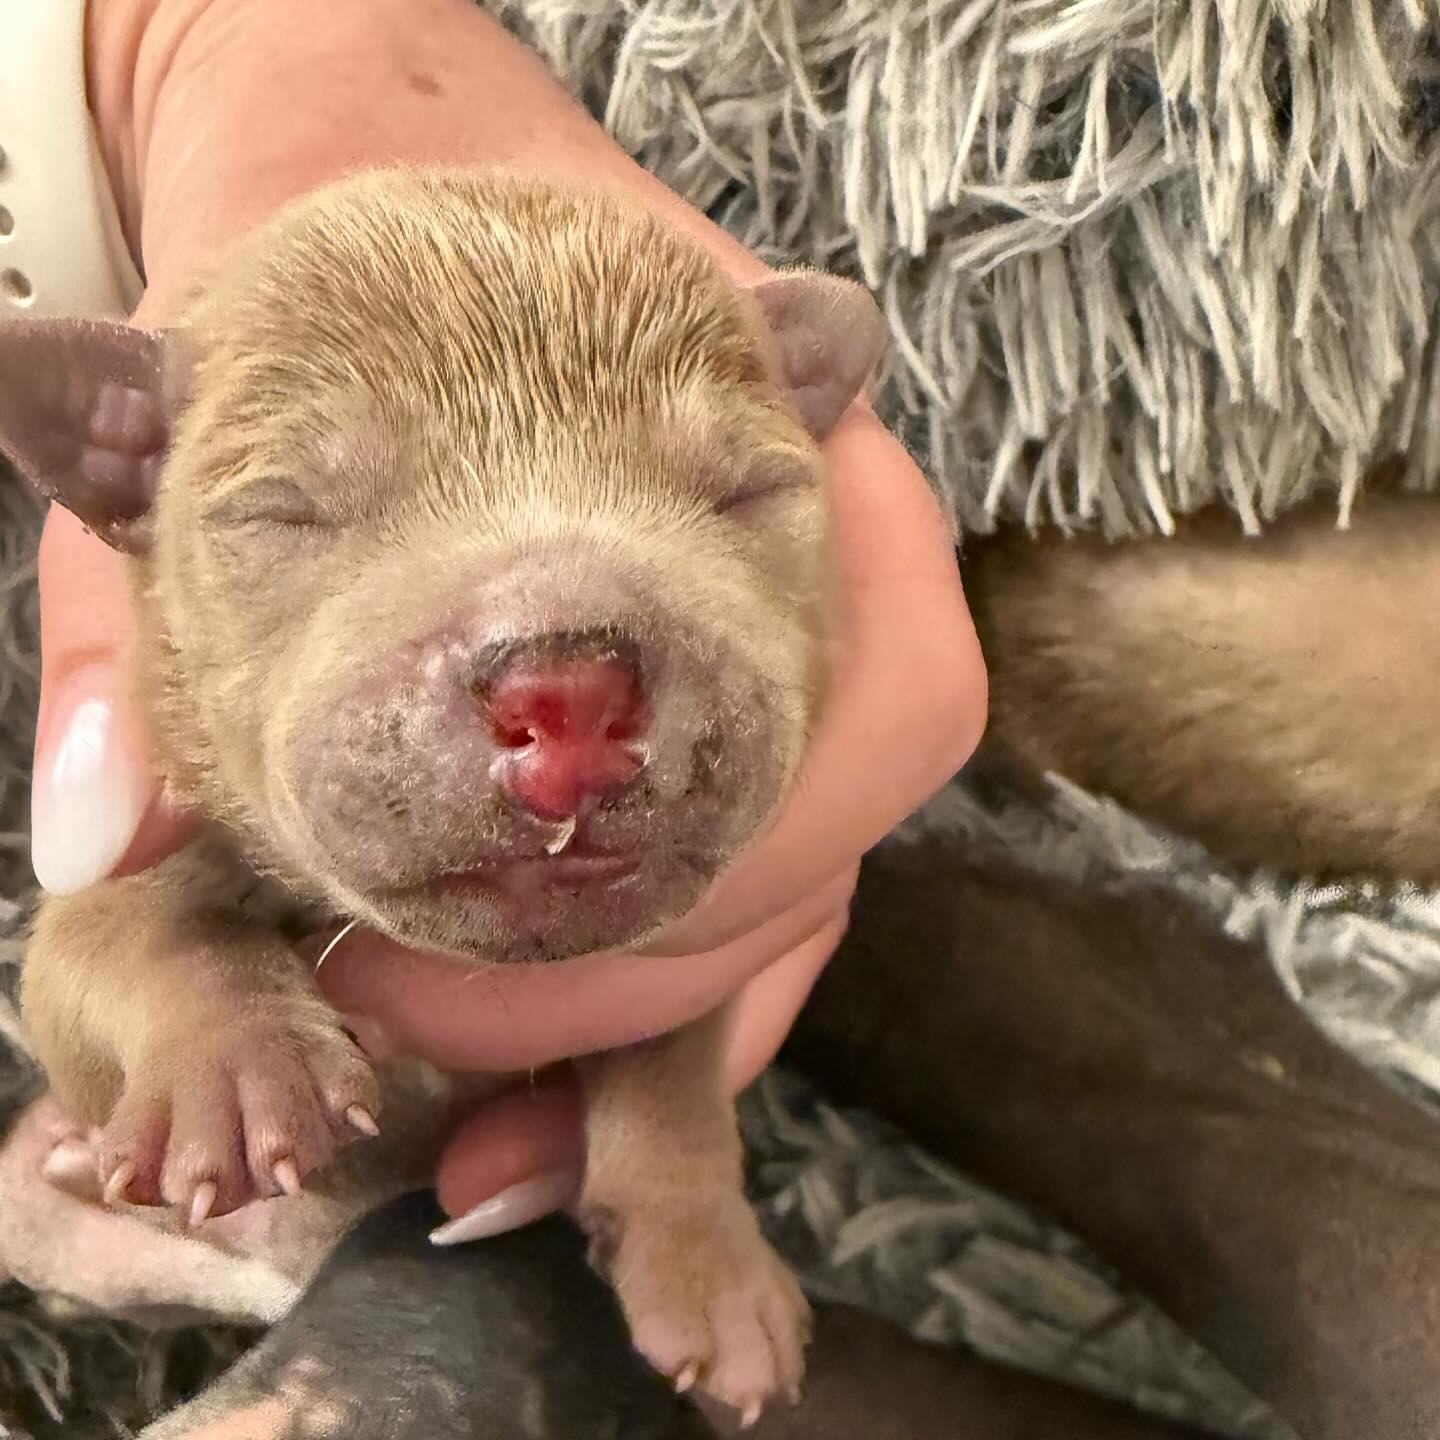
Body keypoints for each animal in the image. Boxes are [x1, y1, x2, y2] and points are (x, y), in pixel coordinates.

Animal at [0, 163, 887, 1422]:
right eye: (281, 512)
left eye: (751, 491)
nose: (569, 692)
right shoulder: (122, 860)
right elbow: (121, 939)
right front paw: (236, 1063)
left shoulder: (698, 950)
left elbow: (674, 1052)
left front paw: (707, 1258)